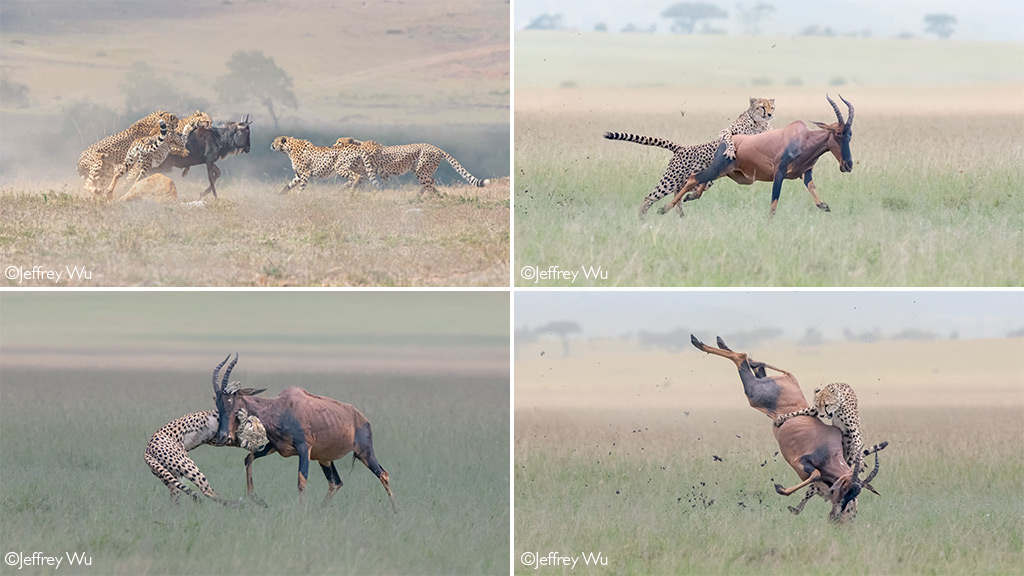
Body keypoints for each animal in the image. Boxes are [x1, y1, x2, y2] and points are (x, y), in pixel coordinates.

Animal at [209, 352, 397, 508]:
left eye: (232, 402)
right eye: (217, 403)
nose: (222, 437)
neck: (281, 407)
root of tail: (363, 419)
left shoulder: (304, 448)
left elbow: (301, 481)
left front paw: (301, 511)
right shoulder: (275, 447)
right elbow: (248, 458)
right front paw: (257, 500)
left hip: (365, 452)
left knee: (384, 474)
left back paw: (396, 510)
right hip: (325, 459)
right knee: (336, 483)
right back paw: (319, 509)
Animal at [333, 139, 489, 199]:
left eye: (339, 142)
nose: (333, 145)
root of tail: (436, 147)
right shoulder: (382, 173)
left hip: (421, 170)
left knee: (430, 183)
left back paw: (433, 197)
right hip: (419, 169)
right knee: (430, 181)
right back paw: (420, 196)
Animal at [598, 96, 774, 217]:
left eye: (772, 106)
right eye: (761, 107)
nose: (770, 114)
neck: (757, 124)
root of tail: (682, 147)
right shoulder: (727, 132)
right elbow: (729, 139)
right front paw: (730, 151)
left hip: (696, 180)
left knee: (681, 194)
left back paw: (681, 213)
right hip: (669, 180)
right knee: (649, 198)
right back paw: (641, 219)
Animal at [663, 94, 856, 215]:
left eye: (850, 134)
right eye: (837, 133)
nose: (847, 165)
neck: (801, 138)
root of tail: (725, 141)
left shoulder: (805, 173)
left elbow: (813, 191)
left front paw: (824, 206)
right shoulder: (779, 174)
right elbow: (773, 204)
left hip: (723, 172)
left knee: (700, 182)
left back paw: (689, 197)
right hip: (719, 169)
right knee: (693, 178)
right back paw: (664, 209)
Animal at [688, 332, 888, 520]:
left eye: (855, 493)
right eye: (845, 490)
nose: (836, 517)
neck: (831, 453)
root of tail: (789, 383)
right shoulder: (801, 462)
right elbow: (815, 474)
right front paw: (780, 488)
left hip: (765, 385)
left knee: (757, 366)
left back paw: (721, 345)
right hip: (754, 393)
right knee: (742, 358)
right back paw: (698, 342)